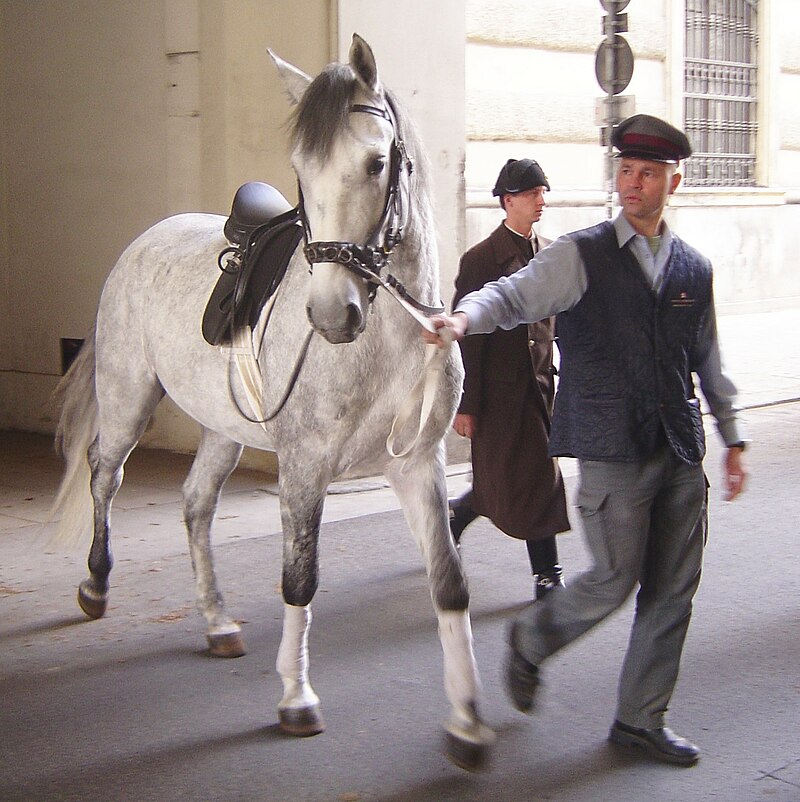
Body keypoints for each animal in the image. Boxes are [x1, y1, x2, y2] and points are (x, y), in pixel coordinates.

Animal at [50, 34, 494, 764]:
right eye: (300, 170)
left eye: (376, 162)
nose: (333, 314)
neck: (389, 342)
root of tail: (146, 239)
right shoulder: (305, 465)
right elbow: (299, 579)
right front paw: (295, 697)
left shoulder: (416, 464)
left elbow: (448, 581)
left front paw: (467, 721)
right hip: (126, 398)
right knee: (103, 476)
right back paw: (94, 584)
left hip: (224, 428)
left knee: (196, 503)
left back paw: (217, 621)